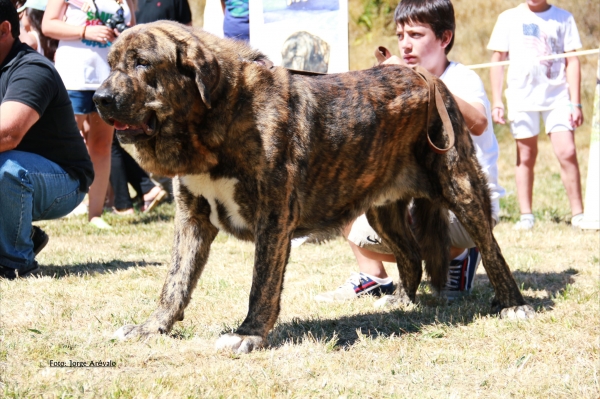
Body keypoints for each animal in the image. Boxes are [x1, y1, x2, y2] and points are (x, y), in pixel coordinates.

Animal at [92, 21, 536, 354]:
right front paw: (151, 327)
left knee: (491, 250)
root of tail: (428, 78)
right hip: (381, 206)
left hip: (460, 186)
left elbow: (262, 283)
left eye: (142, 63)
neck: (219, 114)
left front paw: (248, 333)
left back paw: (513, 304)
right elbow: (175, 282)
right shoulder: (192, 218)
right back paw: (401, 301)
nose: (99, 98)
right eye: (111, 64)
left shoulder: (273, 219)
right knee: (411, 253)